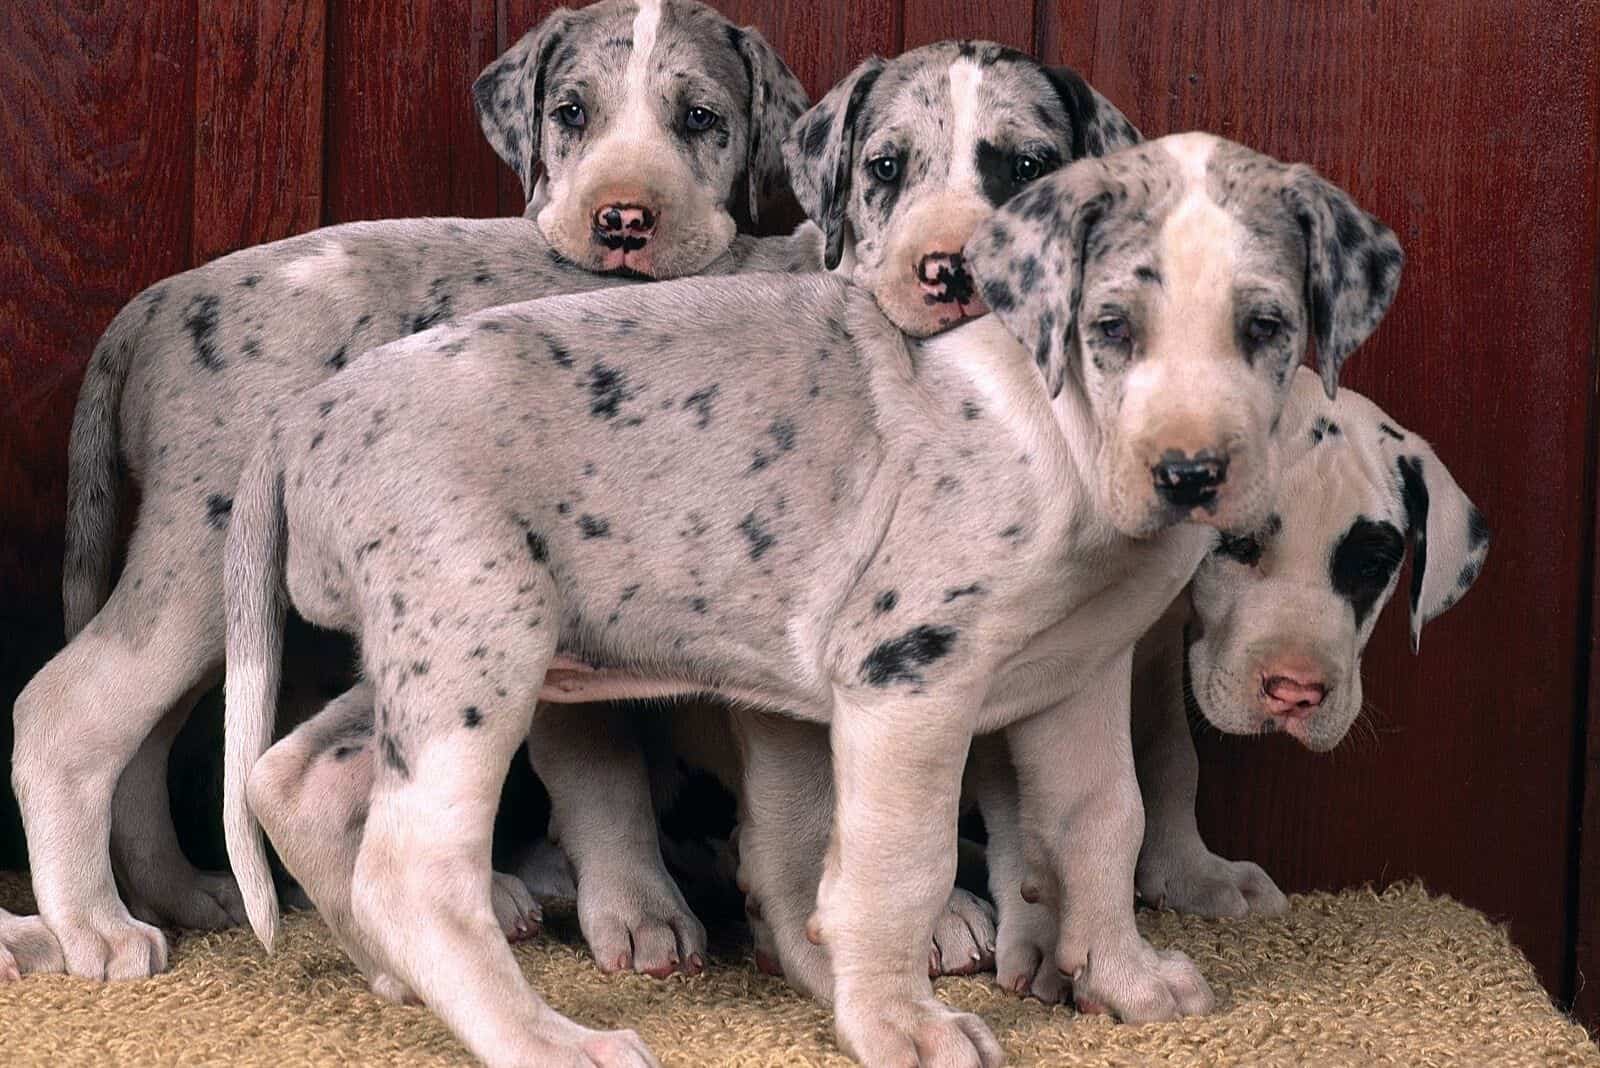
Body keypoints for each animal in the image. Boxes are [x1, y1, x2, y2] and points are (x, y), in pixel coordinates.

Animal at [10, 0, 806, 984]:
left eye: (702, 119)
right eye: (571, 113)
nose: (624, 220)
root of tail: (157, 301)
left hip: (220, 596)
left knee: (150, 739)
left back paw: (180, 890)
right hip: (201, 559)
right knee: (68, 712)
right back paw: (94, 926)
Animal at [985, 367, 1484, 1004]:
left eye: (1371, 567)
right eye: (1237, 545)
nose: (1295, 693)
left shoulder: (1153, 647)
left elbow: (1171, 759)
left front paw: (1188, 873)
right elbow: (1036, 796)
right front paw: (1053, 935)